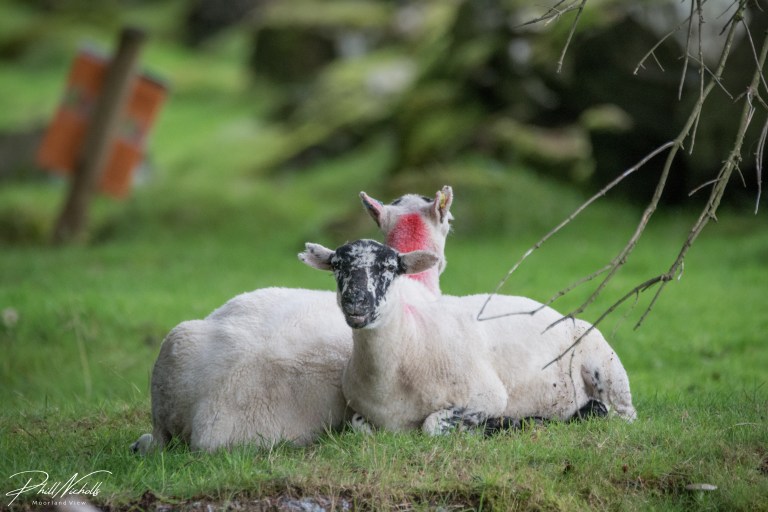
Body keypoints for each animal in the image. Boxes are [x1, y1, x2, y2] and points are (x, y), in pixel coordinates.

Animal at [299, 239, 637, 435]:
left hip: (607, 367)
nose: (355, 302)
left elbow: (431, 425)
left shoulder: (487, 395)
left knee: (622, 415)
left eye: (390, 267)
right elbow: (359, 427)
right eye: (337, 266)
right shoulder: (360, 415)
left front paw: (499, 425)